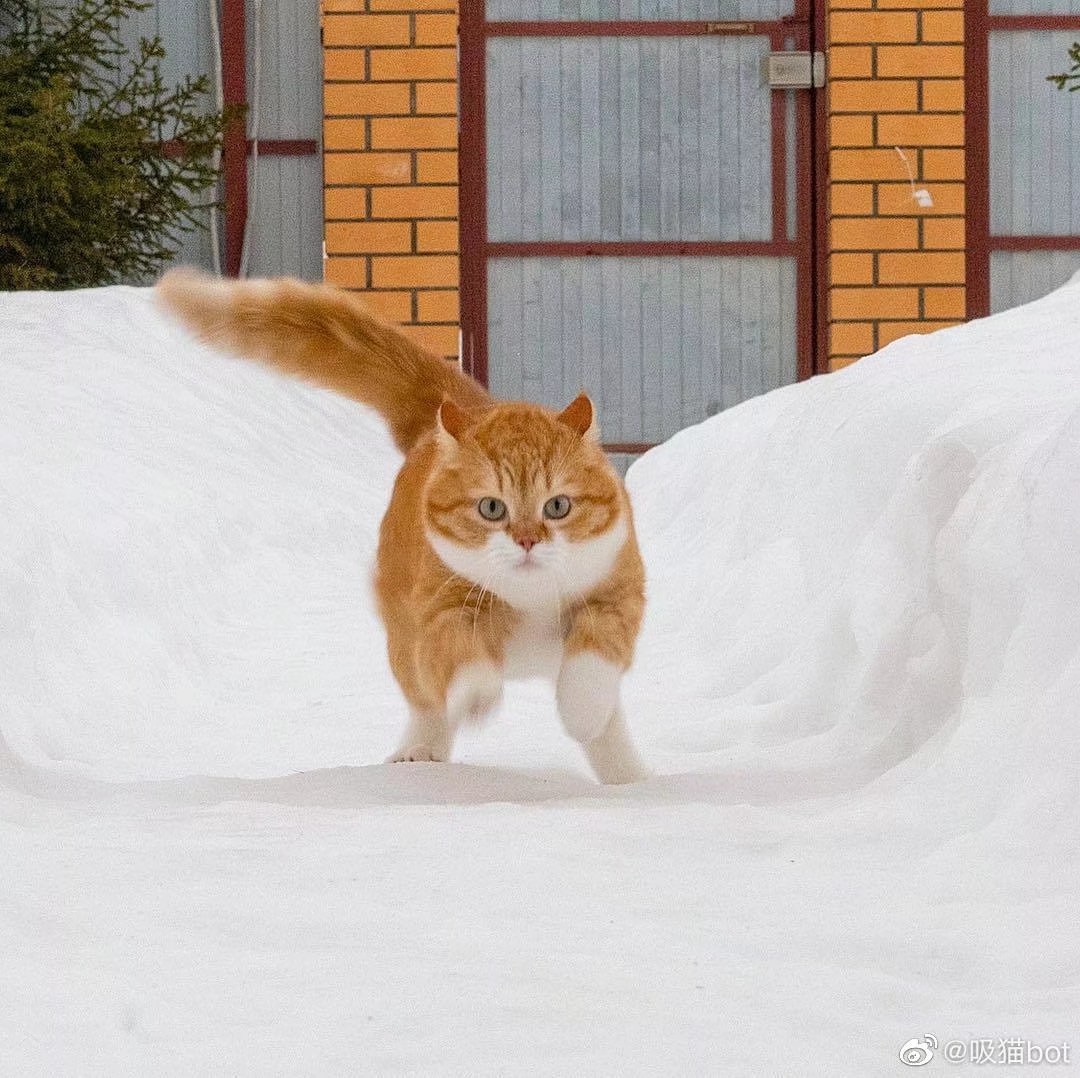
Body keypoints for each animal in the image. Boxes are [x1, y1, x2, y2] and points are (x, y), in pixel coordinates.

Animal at [156, 274, 643, 786]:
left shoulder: (618, 591)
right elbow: (458, 653)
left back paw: (626, 773)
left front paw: (584, 712)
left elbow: (594, 659)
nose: (528, 540)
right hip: (401, 632)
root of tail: (467, 405)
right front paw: (476, 692)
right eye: (492, 507)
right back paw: (421, 750)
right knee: (424, 698)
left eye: (558, 506)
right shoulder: (437, 608)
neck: (527, 598)